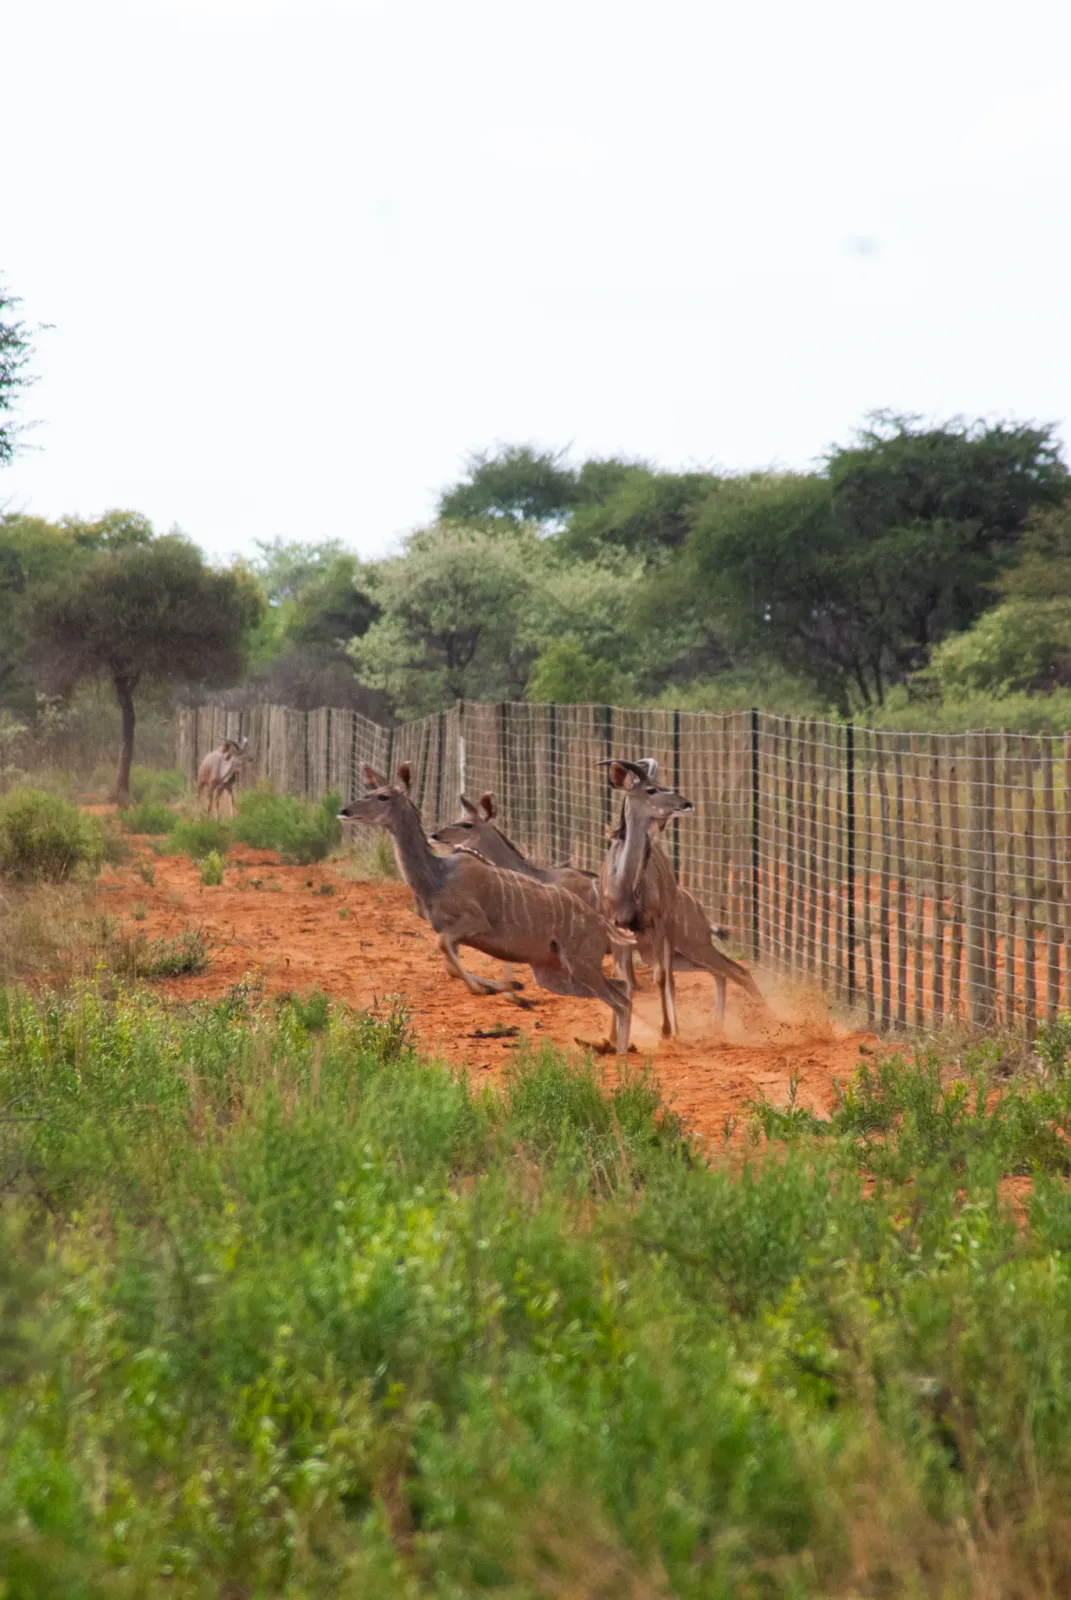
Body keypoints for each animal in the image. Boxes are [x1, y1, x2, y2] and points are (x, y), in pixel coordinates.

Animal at [599, 758, 764, 1037]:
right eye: (651, 790)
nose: (686, 804)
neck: (625, 885)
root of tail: (702, 915)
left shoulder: (656, 926)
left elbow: (660, 977)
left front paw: (666, 1032)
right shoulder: (617, 928)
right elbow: (622, 978)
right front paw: (611, 1038)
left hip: (694, 946)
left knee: (737, 971)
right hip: (683, 955)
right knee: (720, 974)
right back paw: (717, 1025)